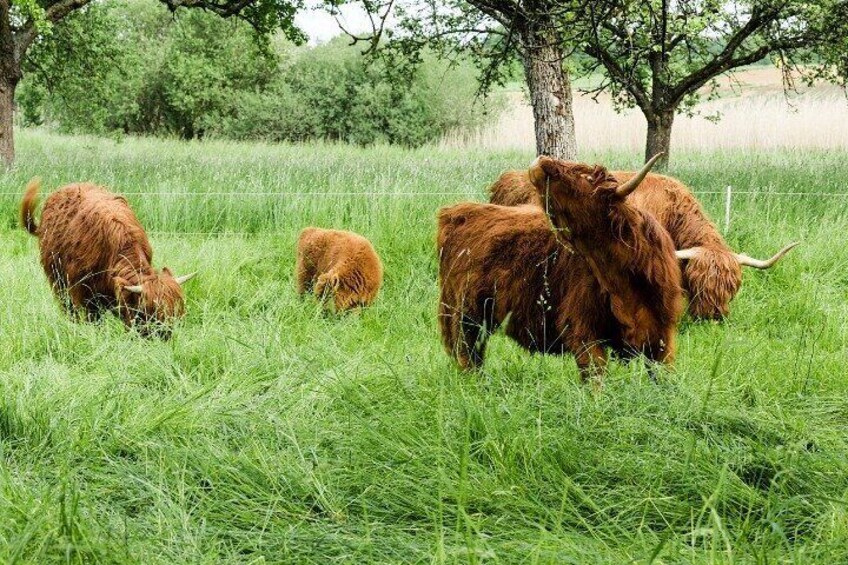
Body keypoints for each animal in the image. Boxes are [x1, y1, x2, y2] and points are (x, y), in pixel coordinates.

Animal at [20, 177, 195, 334]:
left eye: (176, 310)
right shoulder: (83, 291)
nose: (166, 336)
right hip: (56, 277)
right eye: (149, 311)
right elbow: (92, 318)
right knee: (66, 304)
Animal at [438, 154, 684, 384]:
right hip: (465, 314)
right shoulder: (584, 333)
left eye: (585, 176)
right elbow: (595, 379)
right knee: (468, 355)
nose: (542, 160)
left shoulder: (663, 337)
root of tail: (457, 212)